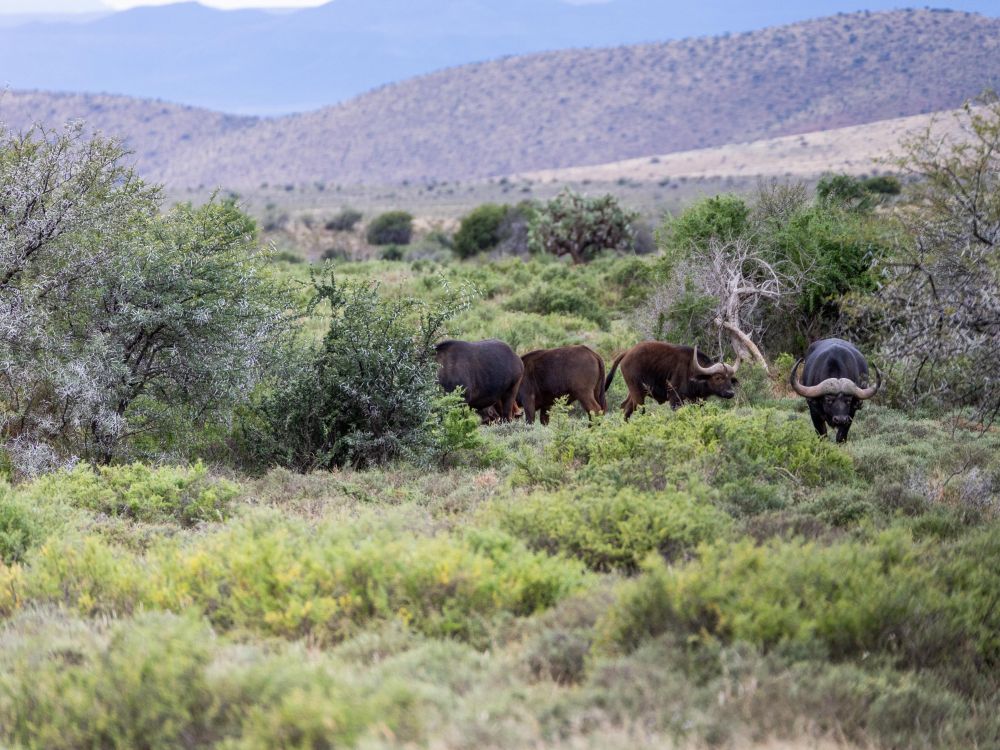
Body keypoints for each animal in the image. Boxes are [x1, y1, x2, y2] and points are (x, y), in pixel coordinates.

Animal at [605, 342, 739, 419]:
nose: (730, 393)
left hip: (635, 393)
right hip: (638, 393)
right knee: (636, 410)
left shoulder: (698, 402)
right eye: (718, 378)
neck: (692, 369)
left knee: (625, 407)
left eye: (730, 379)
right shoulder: (675, 400)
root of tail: (627, 352)